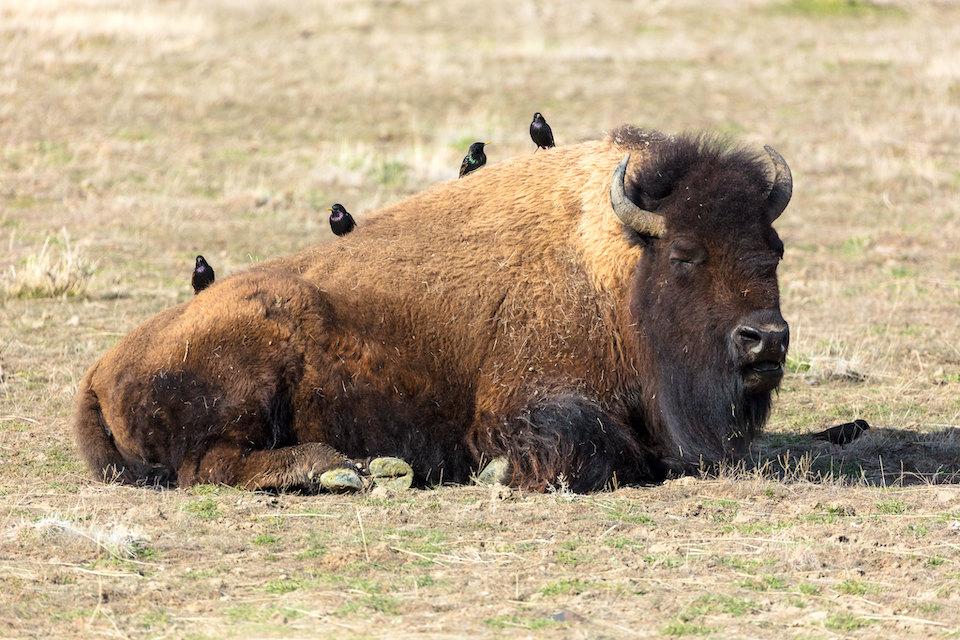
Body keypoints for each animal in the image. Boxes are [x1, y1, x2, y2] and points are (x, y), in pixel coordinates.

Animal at [73, 126, 796, 496]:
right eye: (683, 254)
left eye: (774, 248)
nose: (765, 339)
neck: (614, 264)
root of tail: (98, 373)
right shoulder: (523, 403)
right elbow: (593, 448)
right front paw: (500, 472)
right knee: (212, 467)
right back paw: (337, 470)